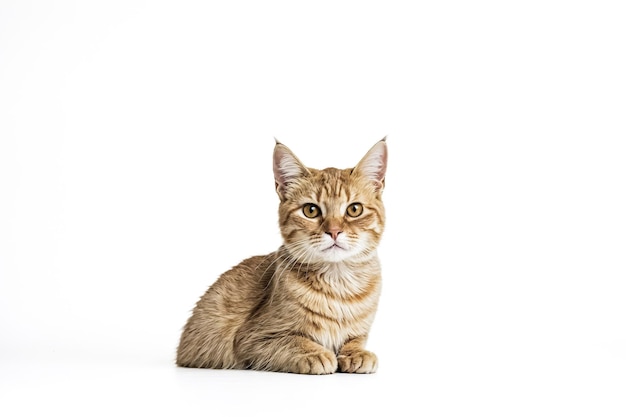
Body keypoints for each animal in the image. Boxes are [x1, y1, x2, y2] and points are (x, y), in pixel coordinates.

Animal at [176, 137, 386, 374]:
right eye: (311, 210)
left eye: (354, 209)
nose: (333, 231)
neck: (339, 285)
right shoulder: (252, 338)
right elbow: (294, 340)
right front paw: (315, 353)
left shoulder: (359, 333)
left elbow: (354, 341)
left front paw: (356, 353)